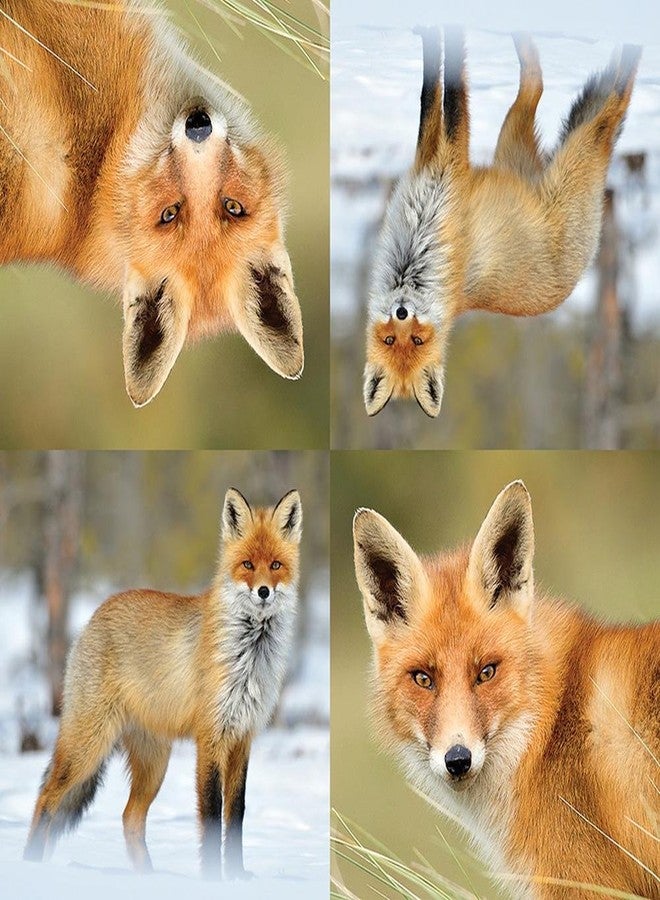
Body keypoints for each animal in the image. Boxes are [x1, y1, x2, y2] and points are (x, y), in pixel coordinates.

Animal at [24, 487, 302, 878]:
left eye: (276, 565)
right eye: (247, 565)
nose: (263, 591)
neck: (248, 656)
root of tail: (95, 613)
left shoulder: (242, 738)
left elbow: (236, 815)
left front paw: (235, 876)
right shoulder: (211, 737)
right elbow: (212, 814)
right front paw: (213, 878)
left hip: (154, 763)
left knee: (129, 817)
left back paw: (150, 878)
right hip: (87, 746)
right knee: (46, 799)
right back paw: (30, 865)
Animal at [364, 28, 641, 417]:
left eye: (416, 338)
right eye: (391, 338)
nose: (402, 311)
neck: (414, 255)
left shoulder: (438, 163)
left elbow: (436, 96)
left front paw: (437, 35)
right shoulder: (439, 163)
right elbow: (442, 99)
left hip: (537, 142)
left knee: (567, 91)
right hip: (548, 143)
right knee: (564, 91)